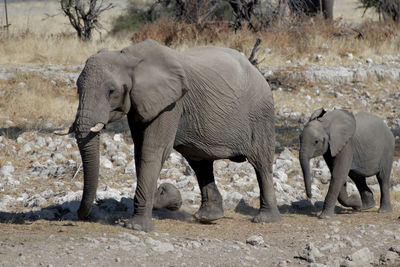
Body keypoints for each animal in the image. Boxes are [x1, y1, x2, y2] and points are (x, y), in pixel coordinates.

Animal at [57, 38, 280, 231]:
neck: (128, 56)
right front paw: (170, 198)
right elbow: (140, 151)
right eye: (77, 89)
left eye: (111, 91)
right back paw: (208, 217)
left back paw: (264, 219)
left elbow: (153, 150)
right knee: (201, 164)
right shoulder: (141, 102)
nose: (82, 216)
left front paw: (138, 226)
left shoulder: (171, 103)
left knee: (260, 163)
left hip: (261, 114)